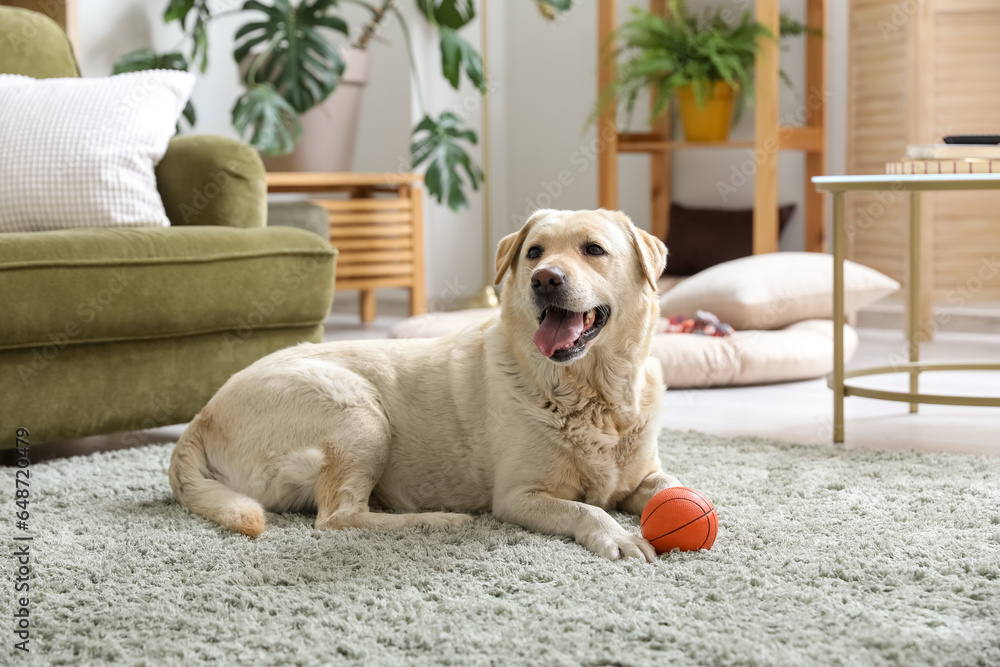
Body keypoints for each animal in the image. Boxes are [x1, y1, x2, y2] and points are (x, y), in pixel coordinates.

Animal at [174, 210, 688, 564]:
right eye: (534, 253)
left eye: (594, 250)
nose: (545, 279)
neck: (595, 394)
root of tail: (202, 415)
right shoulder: (520, 497)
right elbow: (588, 510)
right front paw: (620, 535)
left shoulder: (646, 475)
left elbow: (673, 487)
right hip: (358, 412)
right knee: (338, 518)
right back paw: (441, 519)